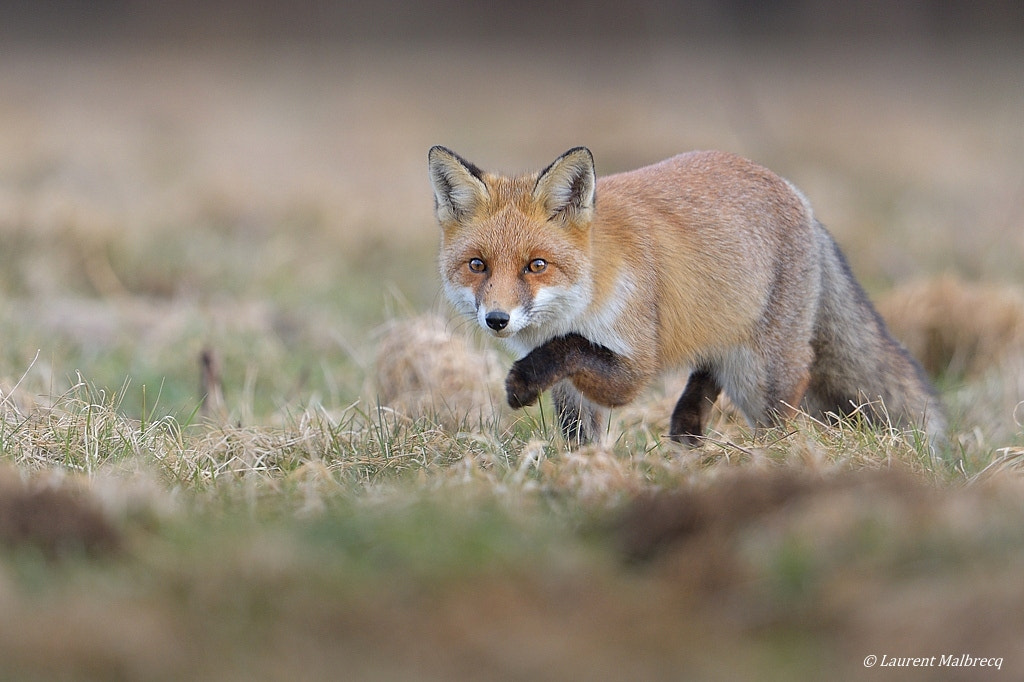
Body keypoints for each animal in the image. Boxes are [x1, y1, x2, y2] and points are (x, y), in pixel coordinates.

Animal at [423, 146, 942, 446]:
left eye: (536, 265)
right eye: (477, 265)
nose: (497, 319)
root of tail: (802, 200)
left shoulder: (633, 365)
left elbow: (571, 349)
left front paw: (523, 382)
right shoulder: (572, 389)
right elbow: (579, 434)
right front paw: (580, 475)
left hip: (762, 377)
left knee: (779, 419)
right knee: (707, 371)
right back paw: (687, 431)